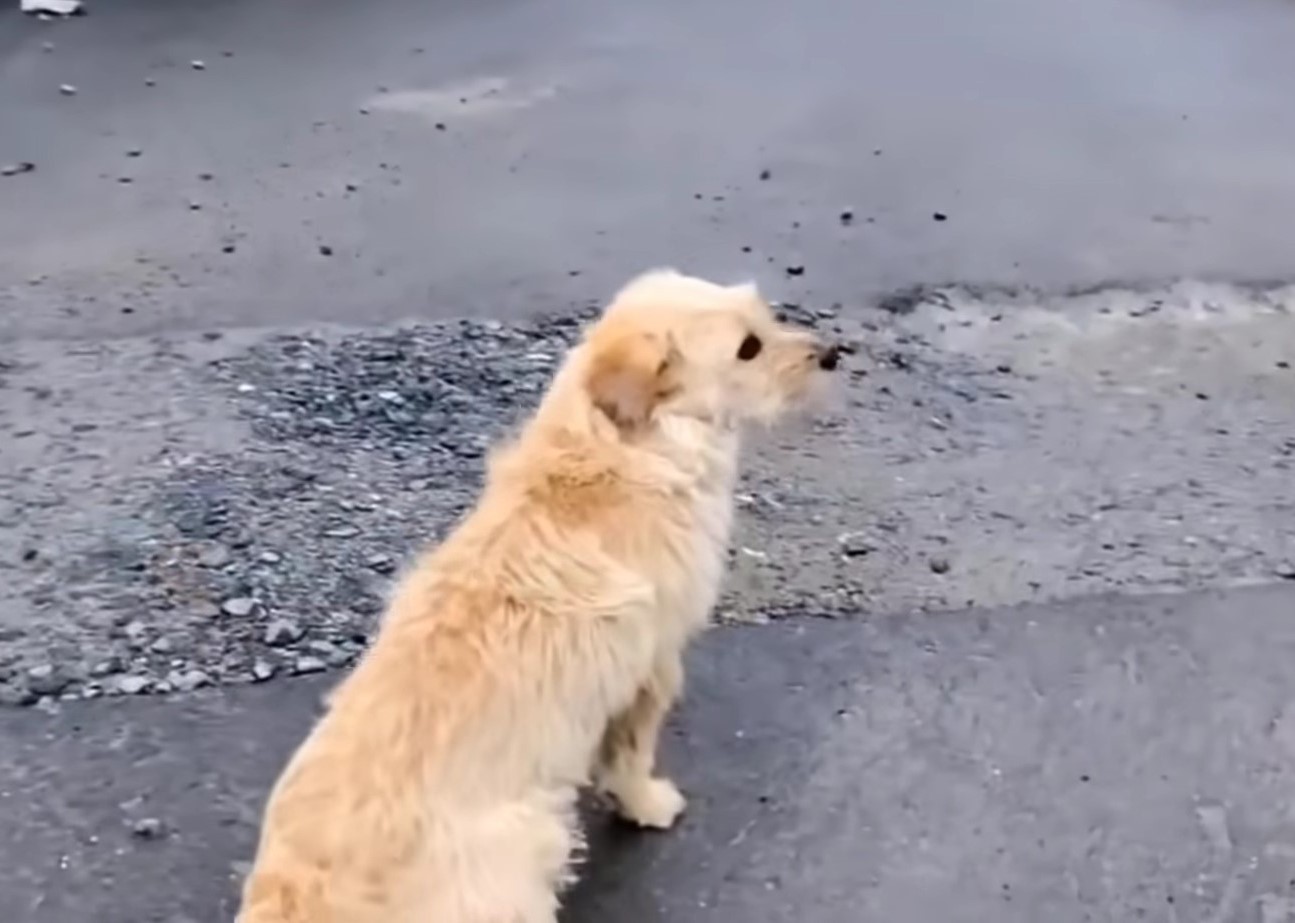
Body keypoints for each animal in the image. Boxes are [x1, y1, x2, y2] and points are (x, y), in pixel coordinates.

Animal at [235, 267, 839, 921]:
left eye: (766, 318)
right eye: (748, 348)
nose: (833, 354)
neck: (618, 450)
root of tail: (292, 899)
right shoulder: (652, 667)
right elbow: (630, 754)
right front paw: (647, 804)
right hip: (532, 838)